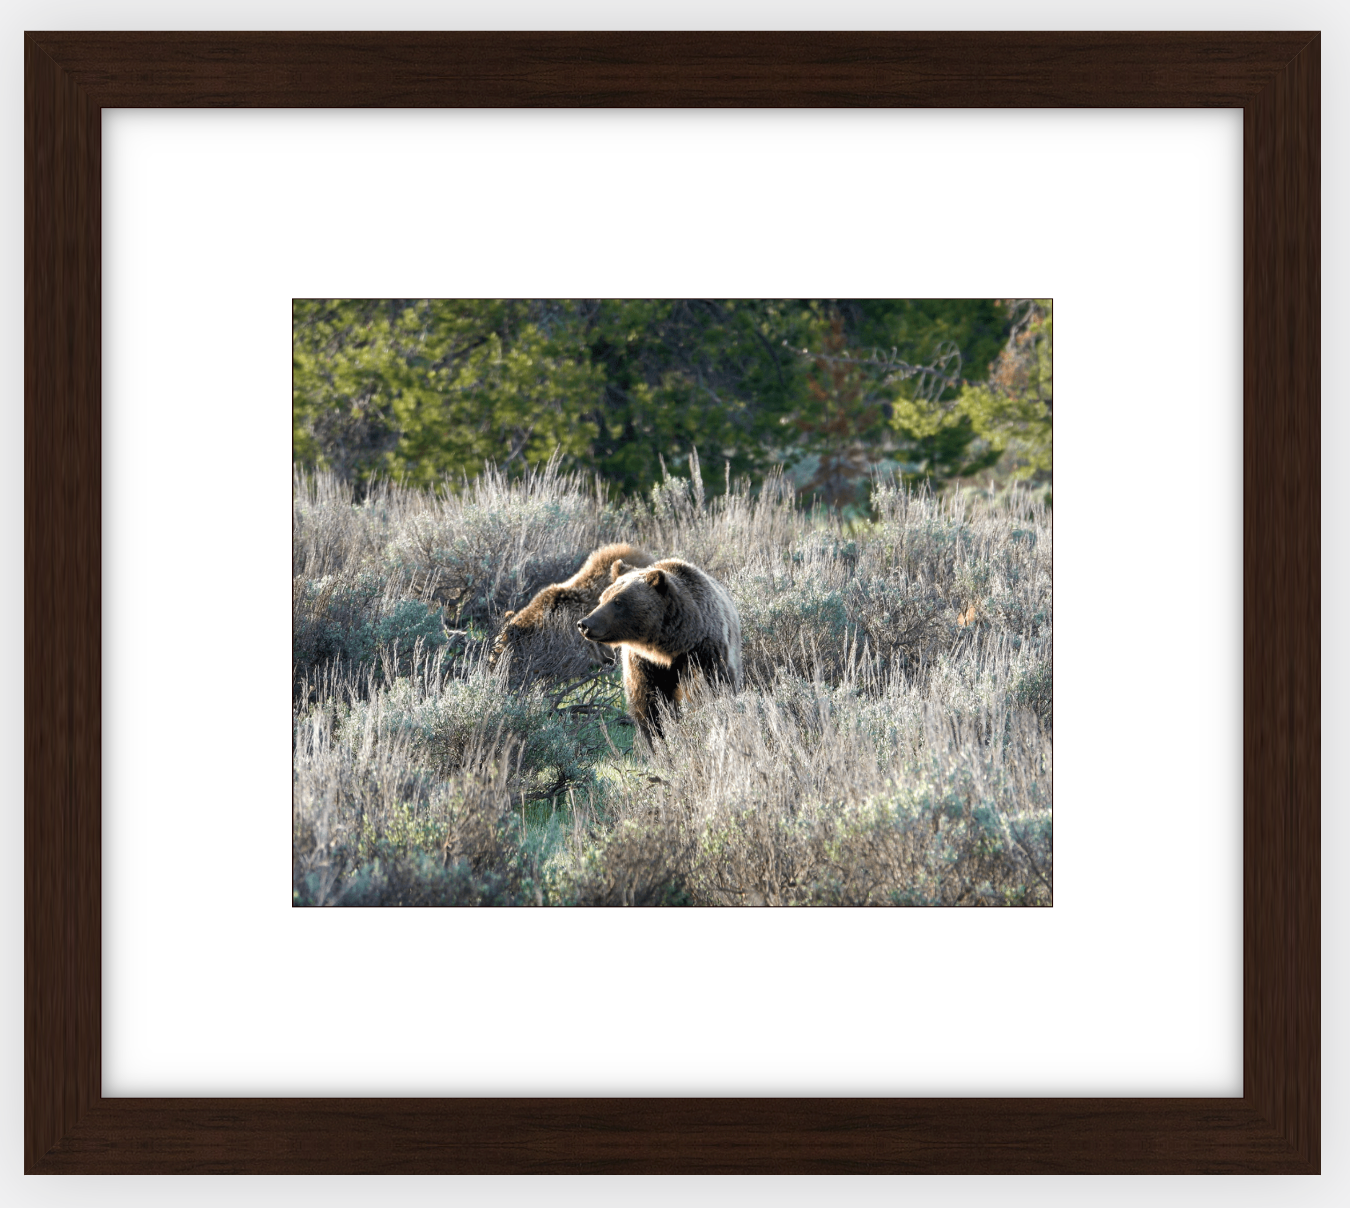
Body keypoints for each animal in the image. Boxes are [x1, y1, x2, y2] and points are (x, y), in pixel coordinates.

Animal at [575, 556, 745, 739]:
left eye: (617, 601)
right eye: (602, 598)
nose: (584, 624)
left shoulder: (702, 651)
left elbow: (710, 686)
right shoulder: (643, 662)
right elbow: (648, 702)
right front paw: (656, 735)